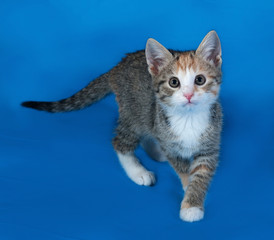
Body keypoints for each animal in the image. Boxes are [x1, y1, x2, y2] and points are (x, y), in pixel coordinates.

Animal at [21, 31, 223, 222]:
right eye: (174, 82)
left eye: (200, 80)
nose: (188, 95)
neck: (189, 118)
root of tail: (117, 66)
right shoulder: (171, 145)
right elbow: (182, 169)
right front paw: (188, 190)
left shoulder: (210, 145)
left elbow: (201, 174)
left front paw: (193, 201)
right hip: (132, 111)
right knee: (120, 141)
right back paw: (138, 171)